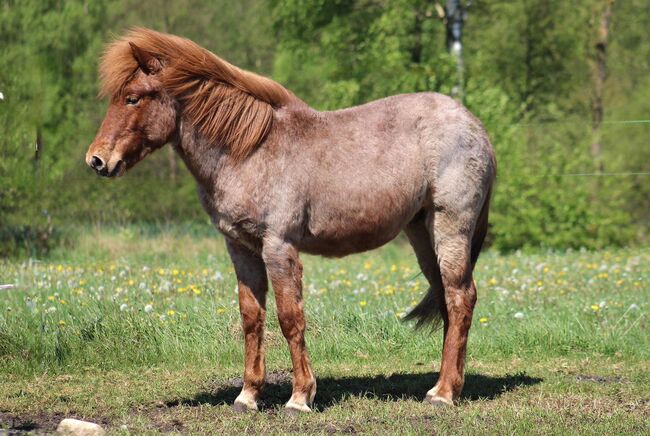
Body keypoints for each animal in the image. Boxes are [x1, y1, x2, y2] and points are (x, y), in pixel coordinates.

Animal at [85, 28, 492, 412]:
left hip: (450, 227)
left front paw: (300, 397)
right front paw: (248, 396)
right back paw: (445, 385)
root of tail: (475, 128)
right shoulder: (241, 247)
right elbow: (252, 317)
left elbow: (289, 317)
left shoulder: (278, 246)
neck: (250, 151)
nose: (97, 160)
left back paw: (443, 394)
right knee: (447, 298)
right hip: (421, 232)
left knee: (461, 297)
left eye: (133, 97)